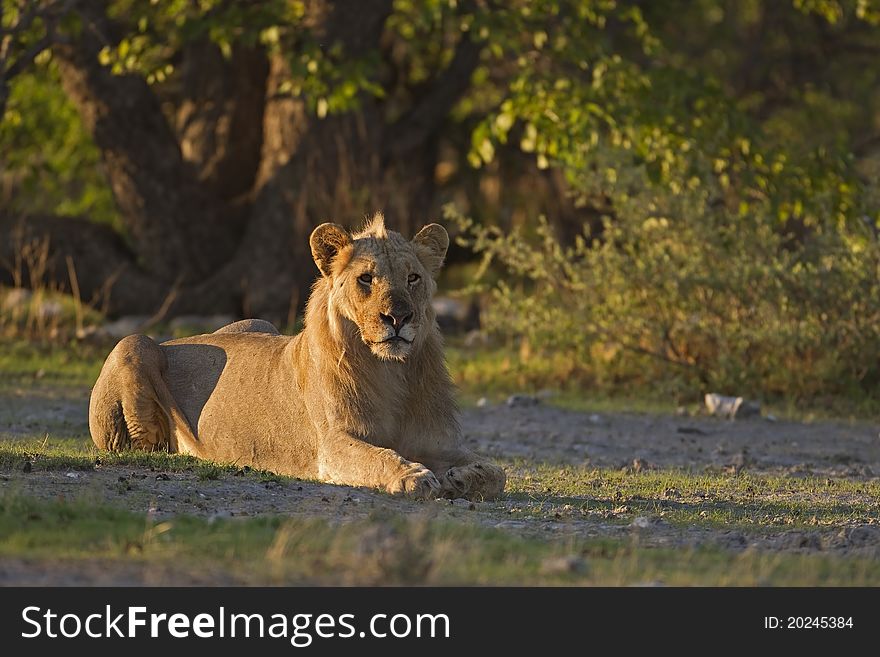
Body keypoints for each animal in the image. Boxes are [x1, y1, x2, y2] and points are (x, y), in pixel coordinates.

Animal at [90, 214, 508, 498]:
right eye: (366, 279)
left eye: (413, 278)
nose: (399, 317)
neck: (392, 371)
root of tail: (176, 340)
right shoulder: (332, 445)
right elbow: (380, 458)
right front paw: (414, 478)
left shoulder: (437, 442)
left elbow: (496, 472)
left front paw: (459, 478)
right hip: (134, 343)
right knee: (145, 442)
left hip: (257, 322)